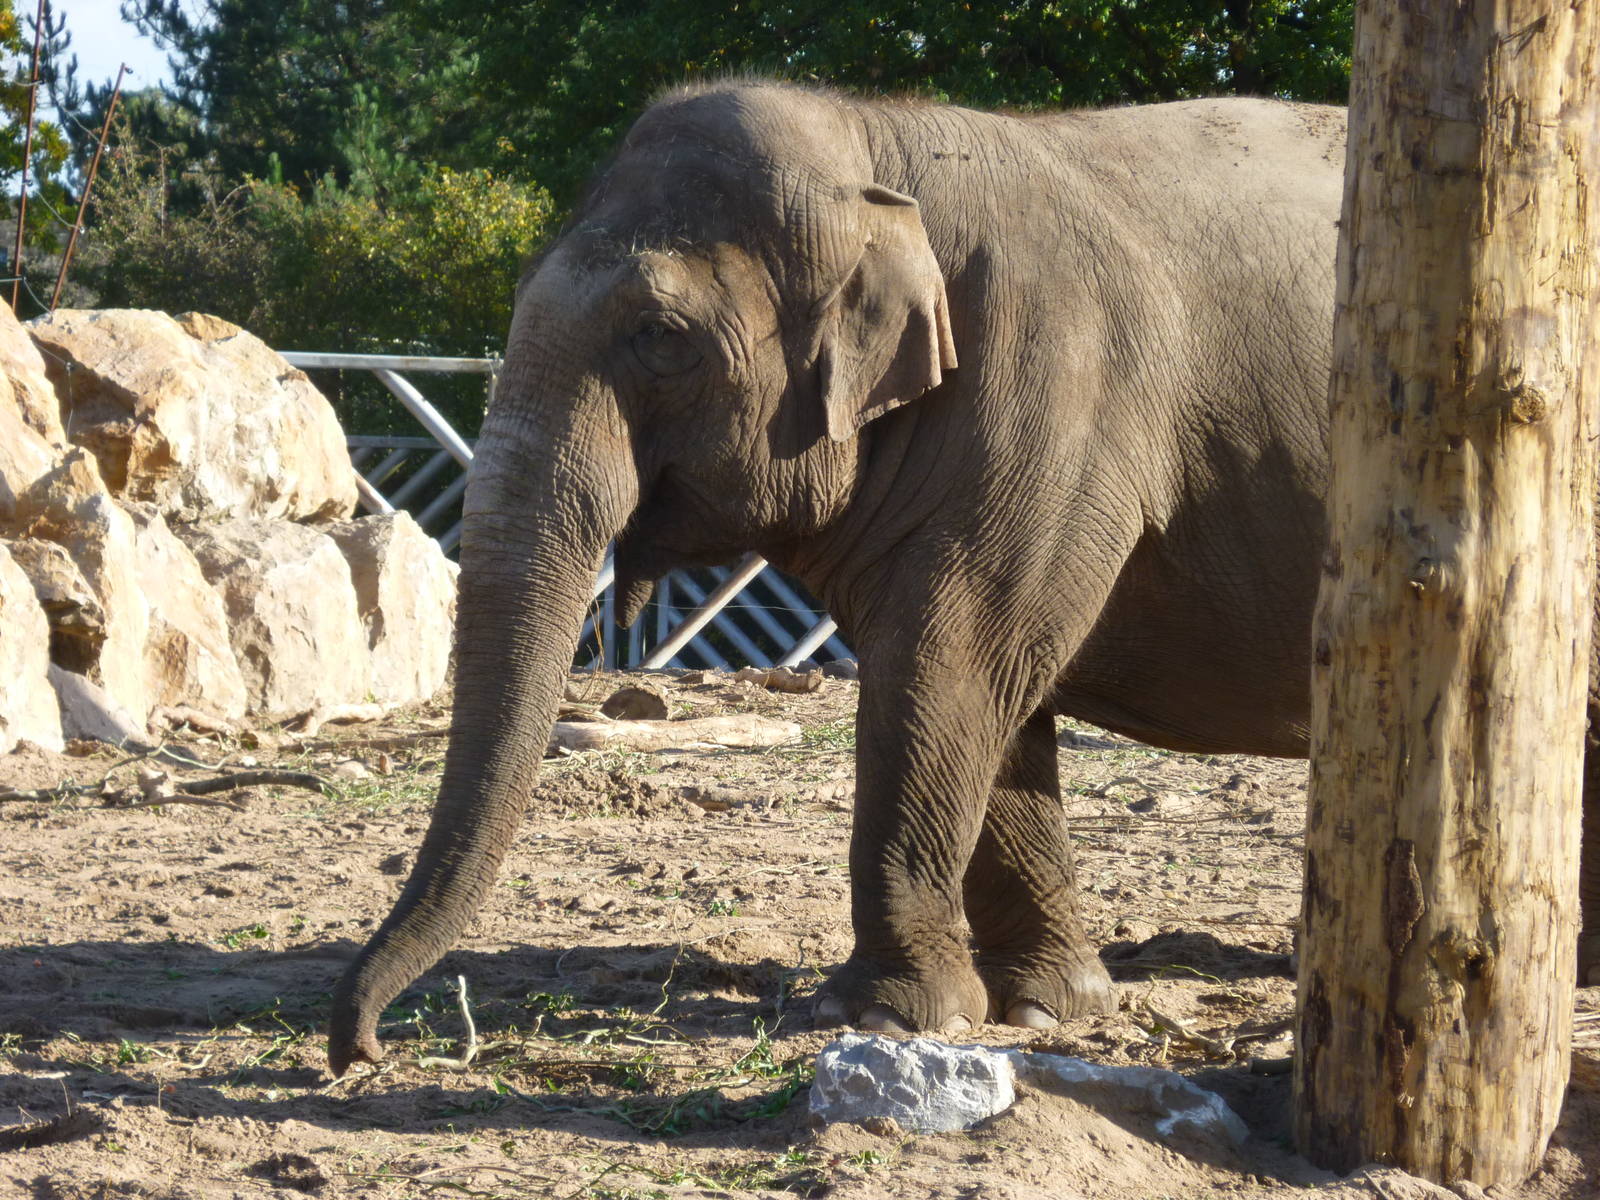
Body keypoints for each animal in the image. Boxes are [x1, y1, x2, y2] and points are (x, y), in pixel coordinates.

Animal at [326, 81, 1600, 1075]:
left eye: (660, 335)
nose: (362, 1049)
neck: (879, 147)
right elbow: (999, 695)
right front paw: (1049, 1005)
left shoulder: (1059, 391)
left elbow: (948, 661)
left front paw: (883, 1015)